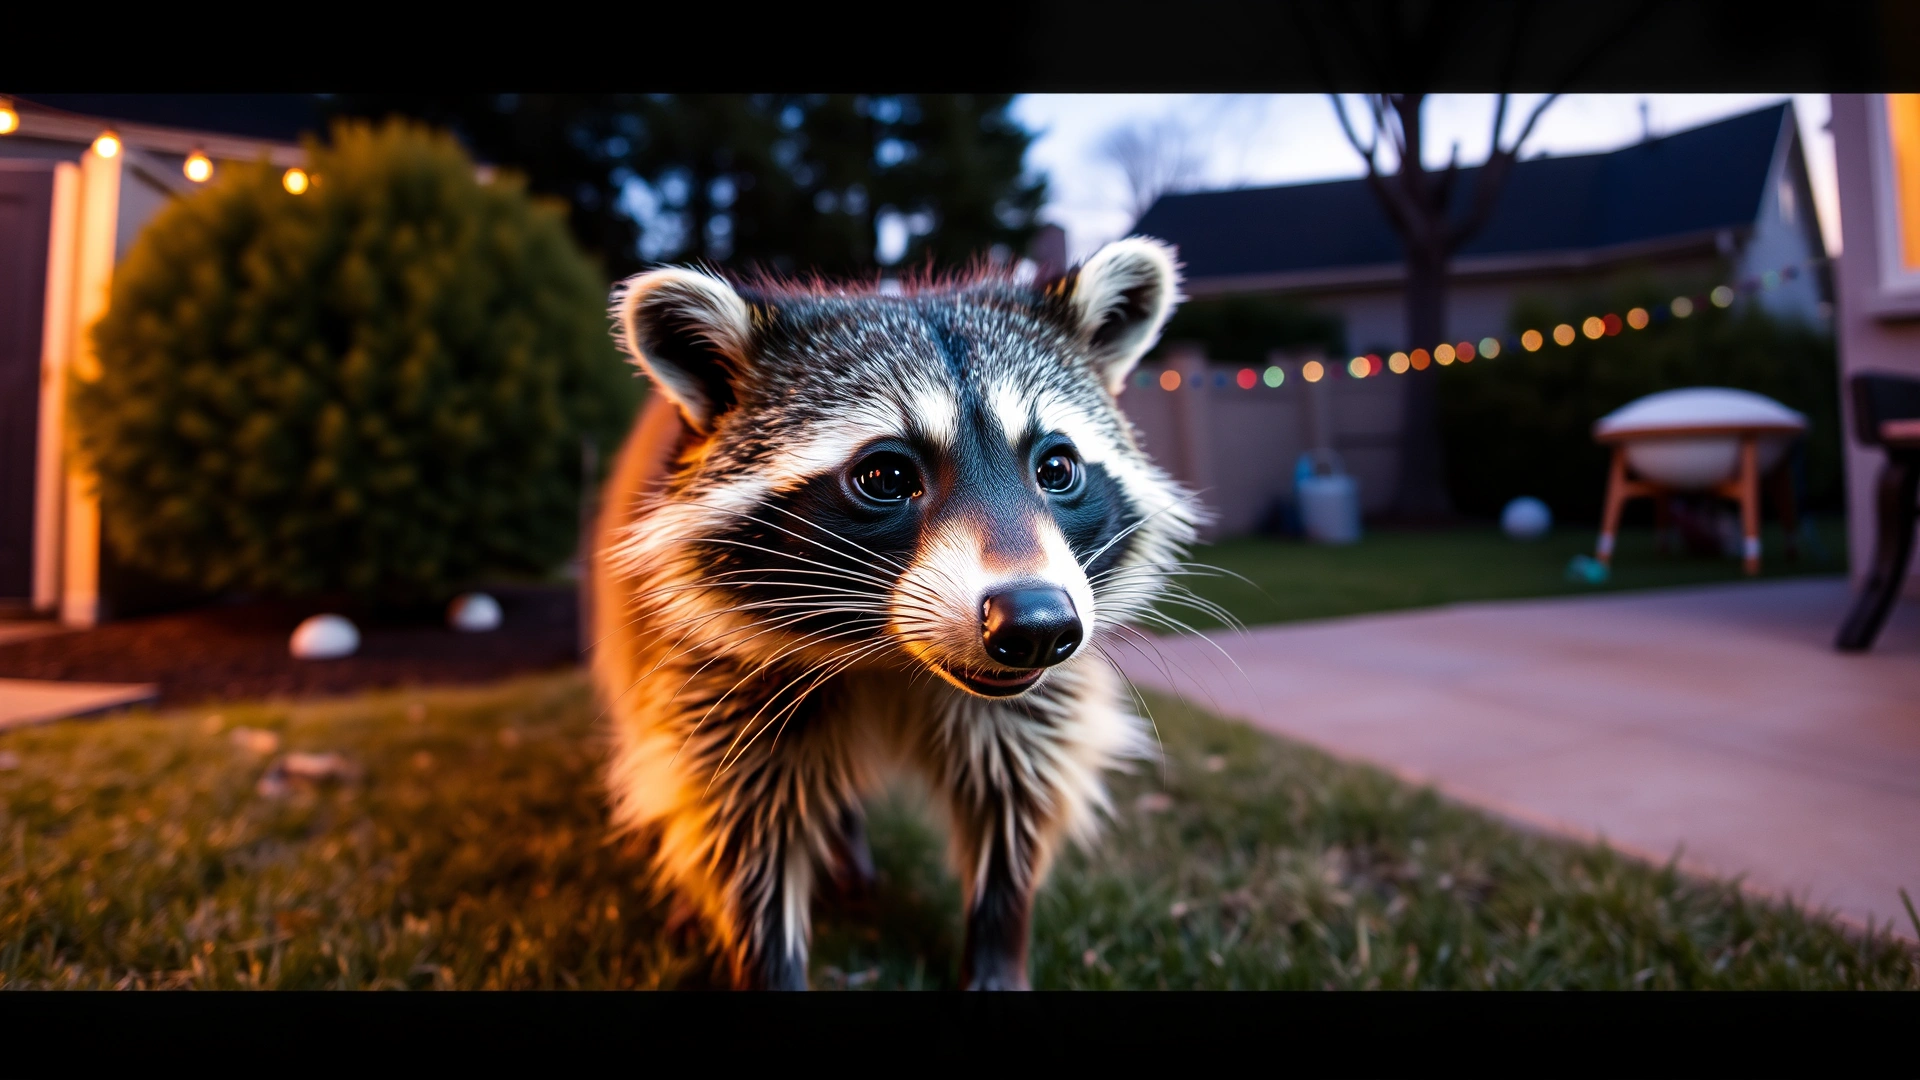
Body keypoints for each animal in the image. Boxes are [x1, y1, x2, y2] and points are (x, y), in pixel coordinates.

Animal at [590, 237, 1200, 990]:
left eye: (1056, 469)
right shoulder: (714, 680)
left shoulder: (1035, 700)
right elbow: (741, 824)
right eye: (886, 477)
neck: (890, 654)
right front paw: (767, 958)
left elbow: (1017, 796)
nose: (1035, 627)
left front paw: (999, 937)